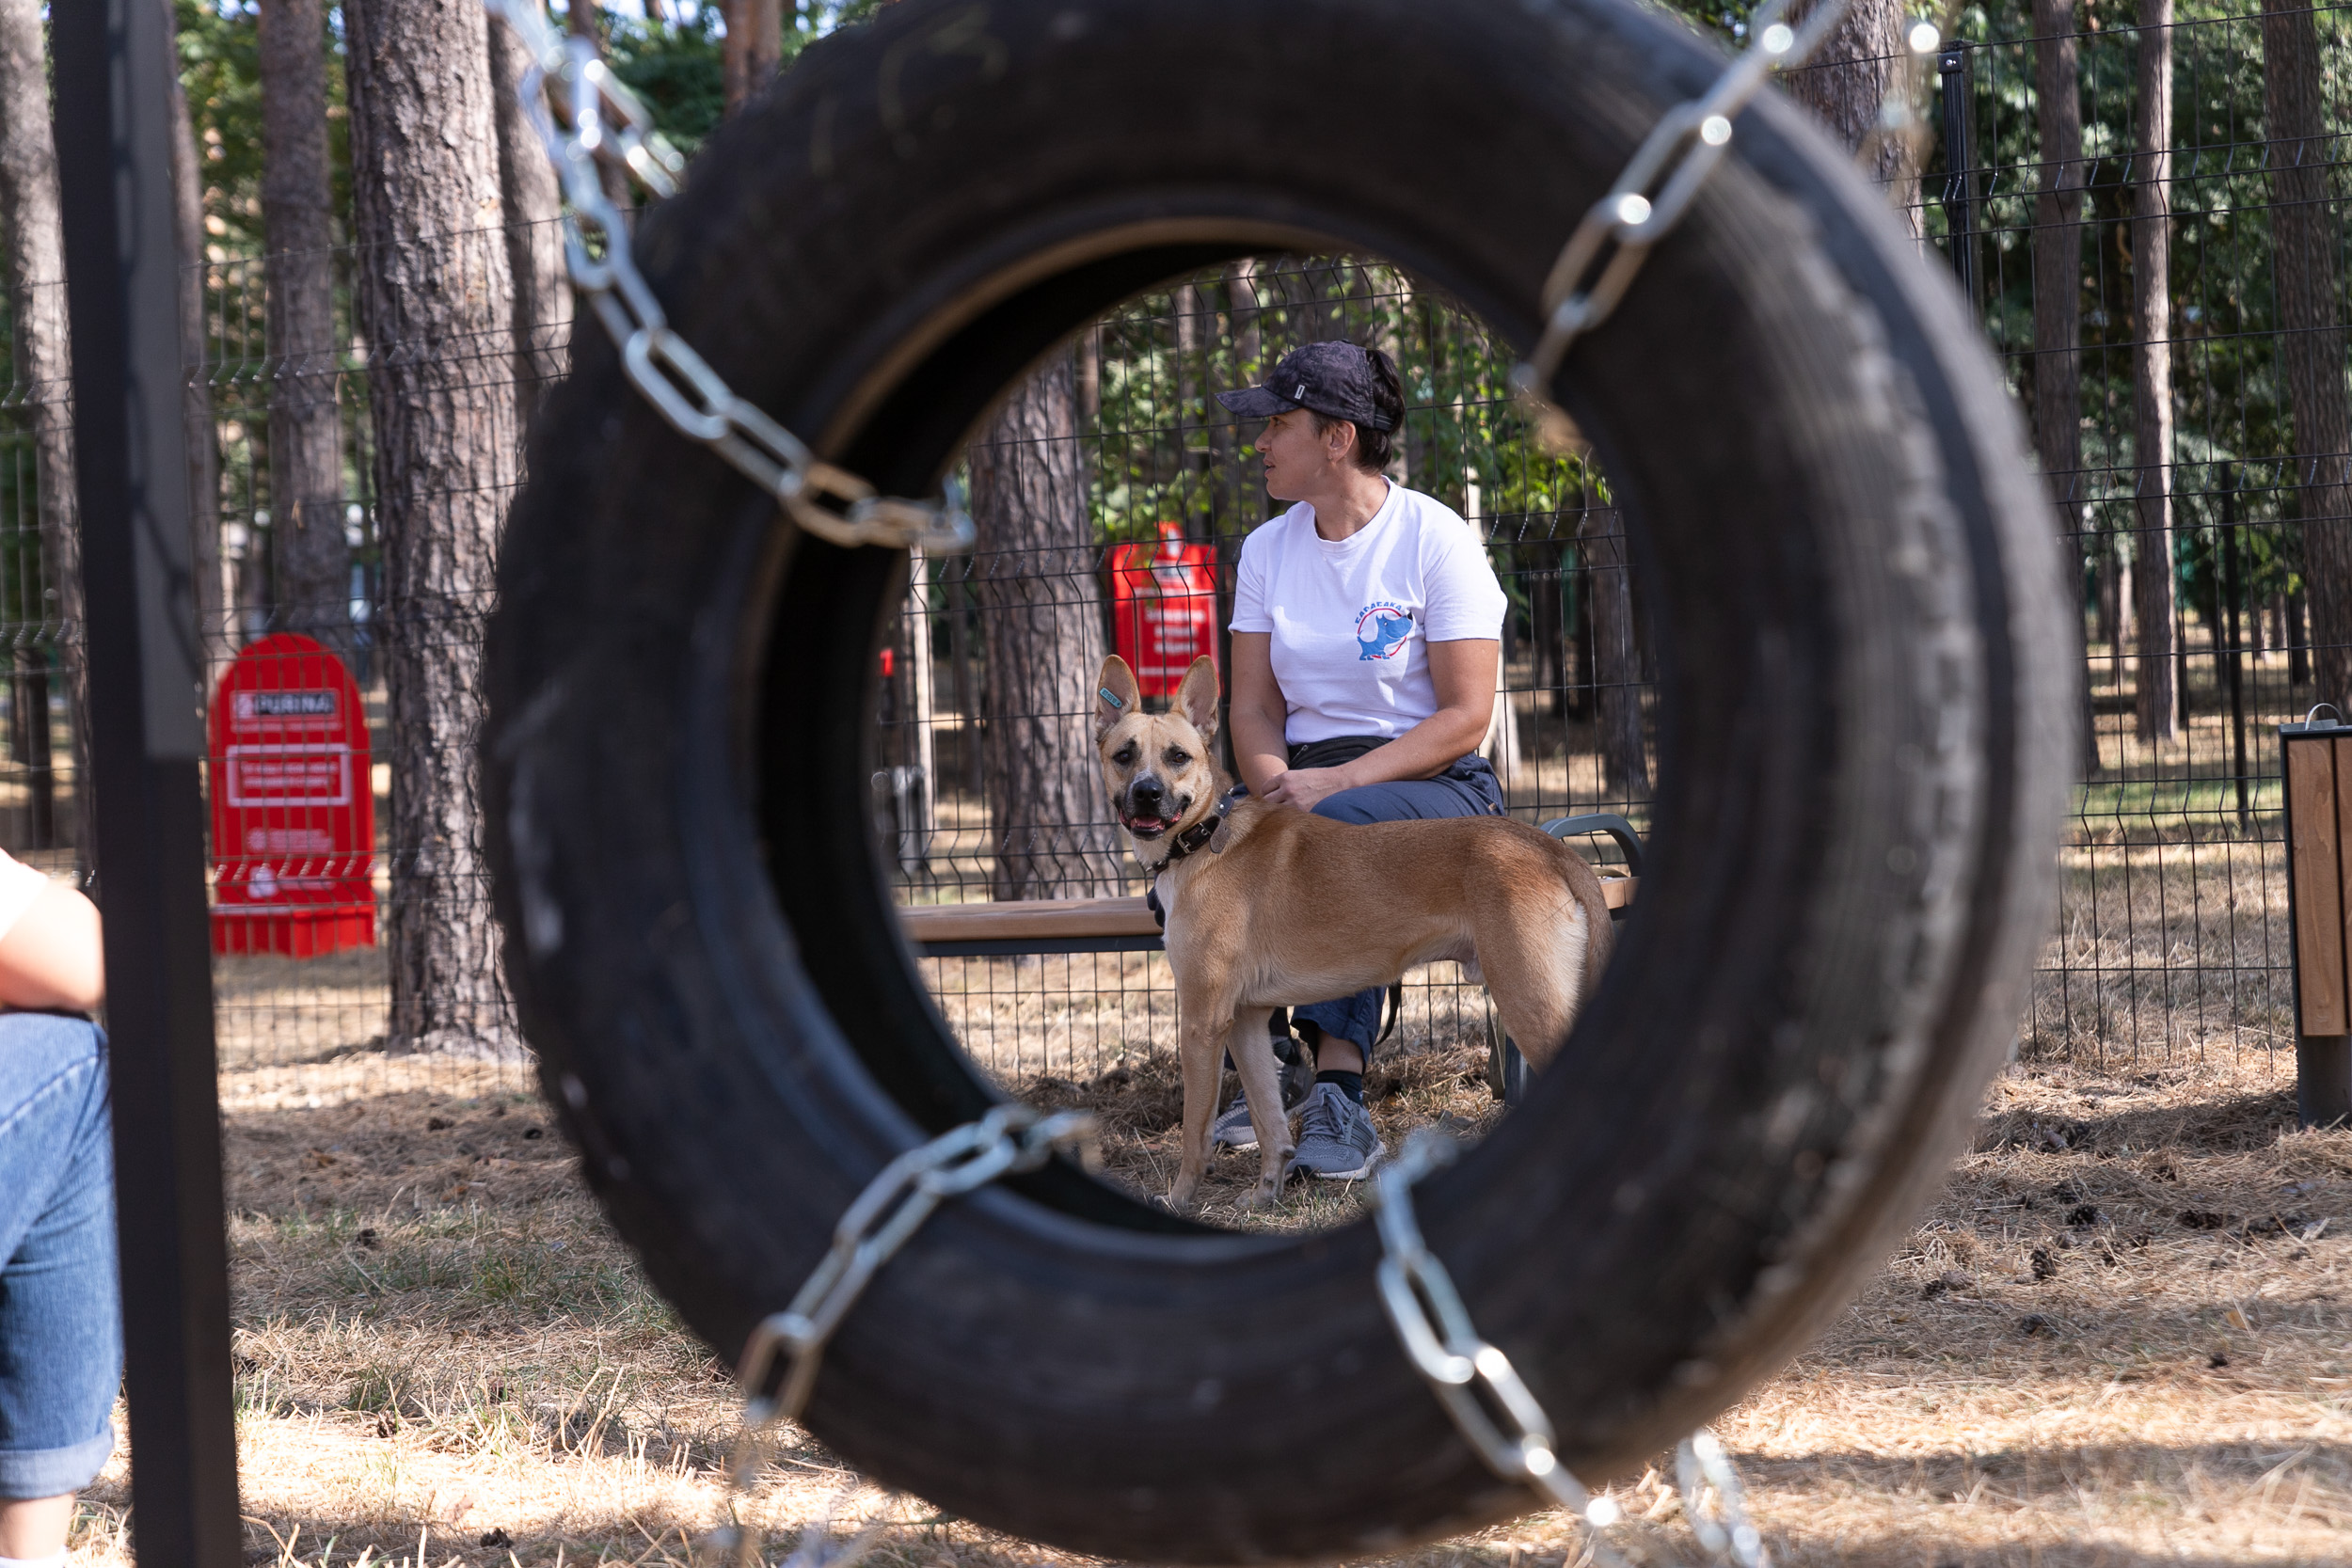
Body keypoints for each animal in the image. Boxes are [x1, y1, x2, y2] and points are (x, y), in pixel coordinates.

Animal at [1096, 648, 1618, 1212]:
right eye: (1123, 755)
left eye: (1178, 757)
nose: (1147, 795)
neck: (1205, 838)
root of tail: (1549, 847)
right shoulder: (1245, 1021)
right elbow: (1268, 1121)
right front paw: (1265, 1194)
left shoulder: (1201, 1022)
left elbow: (1195, 1131)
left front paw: (1178, 1200)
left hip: (1530, 1001)